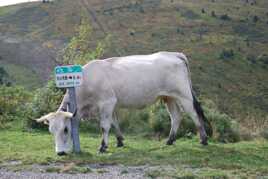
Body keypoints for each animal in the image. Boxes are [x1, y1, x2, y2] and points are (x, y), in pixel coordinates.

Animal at [35, 51, 209, 155]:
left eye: (65, 129)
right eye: (50, 130)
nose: (60, 153)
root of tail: (174, 54)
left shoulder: (106, 102)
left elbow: (105, 126)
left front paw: (102, 146)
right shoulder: (111, 104)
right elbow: (114, 123)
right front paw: (119, 141)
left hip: (184, 95)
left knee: (194, 114)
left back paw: (204, 139)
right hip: (169, 97)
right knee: (176, 116)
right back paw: (169, 140)